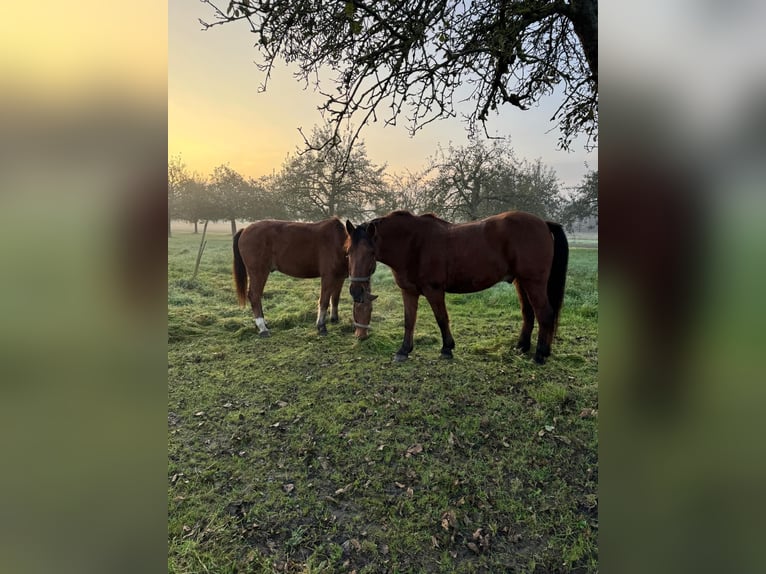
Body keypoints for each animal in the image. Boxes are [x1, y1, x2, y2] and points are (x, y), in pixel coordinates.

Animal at [234, 218, 372, 340]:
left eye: (370, 252)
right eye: (349, 251)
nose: (362, 335)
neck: (337, 243)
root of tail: (245, 229)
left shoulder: (339, 277)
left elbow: (335, 299)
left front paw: (334, 319)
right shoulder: (328, 277)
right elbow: (324, 301)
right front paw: (321, 326)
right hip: (259, 272)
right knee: (254, 295)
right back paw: (262, 328)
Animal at [348, 212, 568, 364]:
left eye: (370, 252)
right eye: (349, 252)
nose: (356, 292)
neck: (413, 245)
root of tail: (543, 223)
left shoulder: (434, 291)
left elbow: (441, 319)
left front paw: (447, 349)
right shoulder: (408, 292)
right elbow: (409, 321)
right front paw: (404, 351)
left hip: (534, 282)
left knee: (545, 314)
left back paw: (540, 355)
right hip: (521, 282)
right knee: (528, 313)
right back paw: (522, 347)